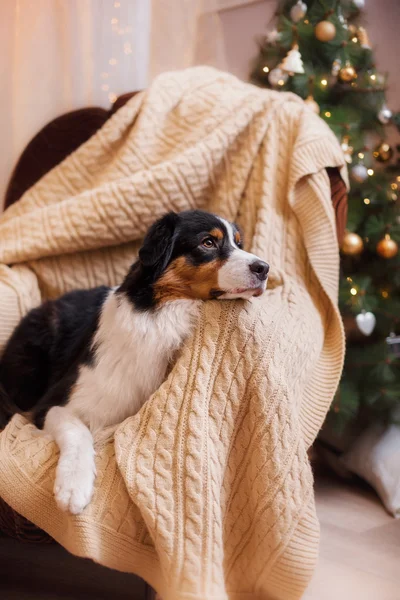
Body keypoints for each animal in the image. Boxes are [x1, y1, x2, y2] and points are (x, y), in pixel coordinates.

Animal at [0, 209, 270, 512]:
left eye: (239, 242)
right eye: (208, 243)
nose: (264, 268)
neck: (160, 313)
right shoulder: (53, 403)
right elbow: (78, 430)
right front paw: (73, 487)